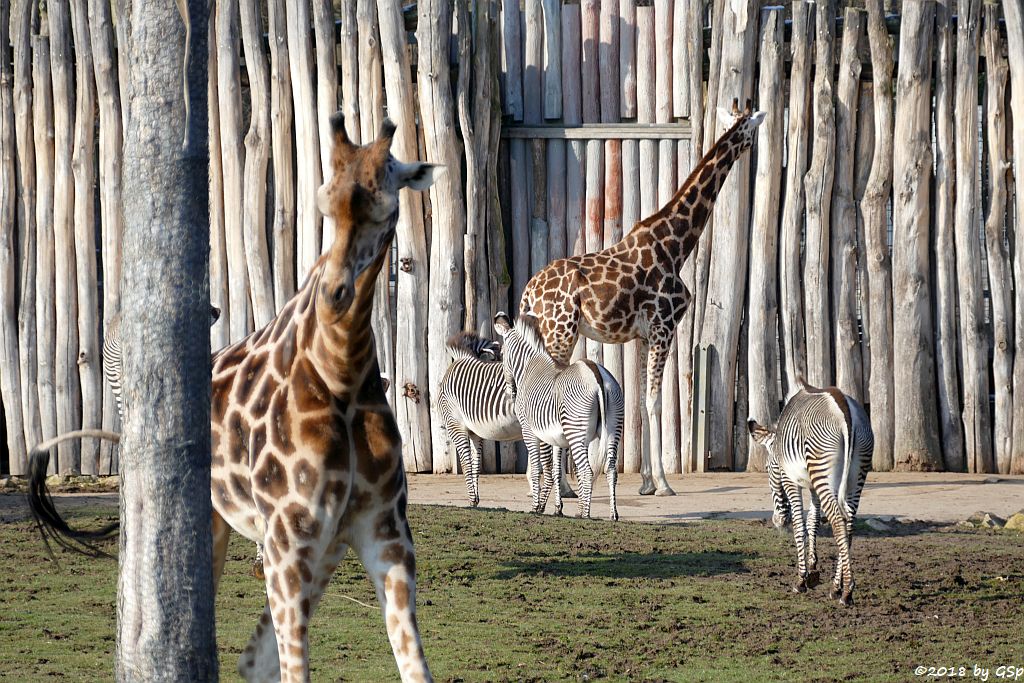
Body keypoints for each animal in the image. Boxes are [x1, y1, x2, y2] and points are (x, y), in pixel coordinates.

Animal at [438, 331, 520, 507]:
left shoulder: (455, 426)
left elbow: (466, 464)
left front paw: (471, 500)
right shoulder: (475, 432)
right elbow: (476, 465)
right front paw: (475, 498)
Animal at [491, 313, 618, 520]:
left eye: (501, 355)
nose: (511, 393)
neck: (529, 367)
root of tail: (596, 372)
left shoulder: (530, 431)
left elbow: (538, 468)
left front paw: (537, 507)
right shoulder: (557, 438)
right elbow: (557, 471)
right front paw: (558, 508)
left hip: (577, 432)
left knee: (587, 471)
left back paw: (585, 514)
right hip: (613, 428)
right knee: (611, 470)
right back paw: (612, 514)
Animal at [524, 100, 765, 497]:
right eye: (754, 126)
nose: (752, 150)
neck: (676, 245)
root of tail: (529, 290)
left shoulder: (643, 335)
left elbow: (639, 403)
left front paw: (647, 483)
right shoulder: (664, 326)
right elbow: (655, 402)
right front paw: (665, 484)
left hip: (551, 333)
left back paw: (552, 483)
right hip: (560, 332)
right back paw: (560, 486)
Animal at [745, 378, 872, 610]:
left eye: (767, 468)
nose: (776, 521)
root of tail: (845, 409)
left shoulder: (790, 479)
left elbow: (799, 524)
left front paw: (801, 579)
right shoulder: (813, 485)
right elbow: (813, 520)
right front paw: (813, 570)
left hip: (823, 468)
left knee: (837, 520)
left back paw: (846, 592)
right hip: (856, 475)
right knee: (849, 523)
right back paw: (836, 587)